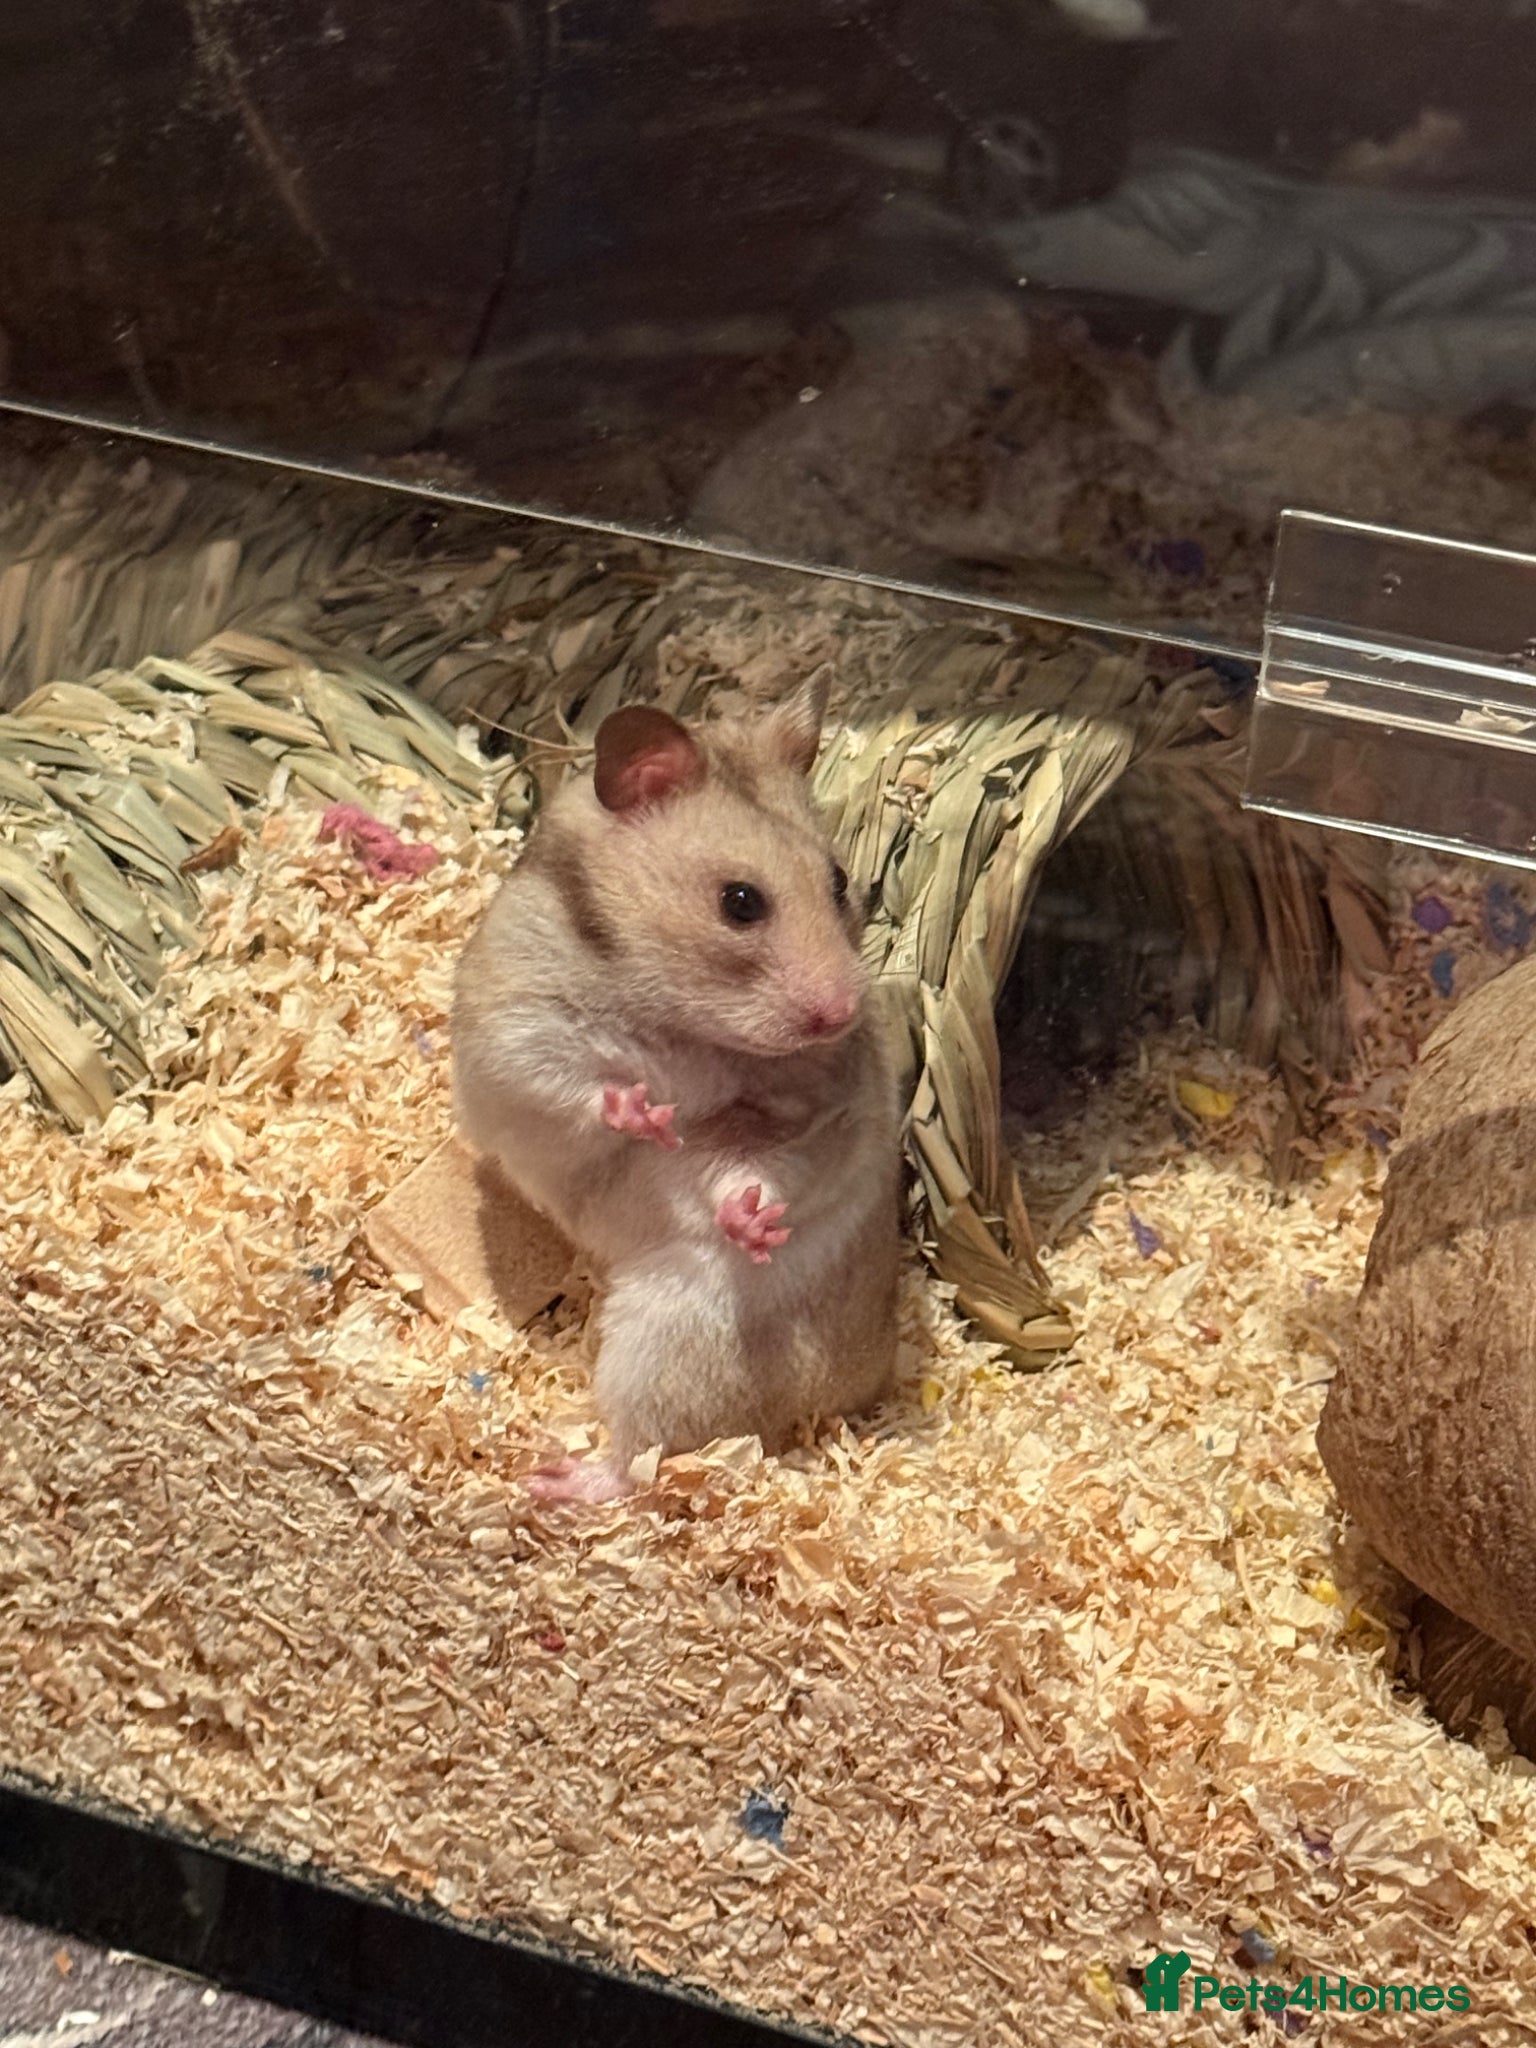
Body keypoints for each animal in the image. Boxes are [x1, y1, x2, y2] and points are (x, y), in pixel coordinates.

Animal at [449, 675, 902, 1502]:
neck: (683, 1020)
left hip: (671, 1340)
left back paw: (549, 1479)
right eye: (740, 902)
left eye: (839, 880)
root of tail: (850, 1397)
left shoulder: (821, 1114)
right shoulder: (516, 1033)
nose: (842, 1014)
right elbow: (575, 1085)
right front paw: (643, 1111)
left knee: (639, 1460)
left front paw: (758, 1226)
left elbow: (754, 1167)